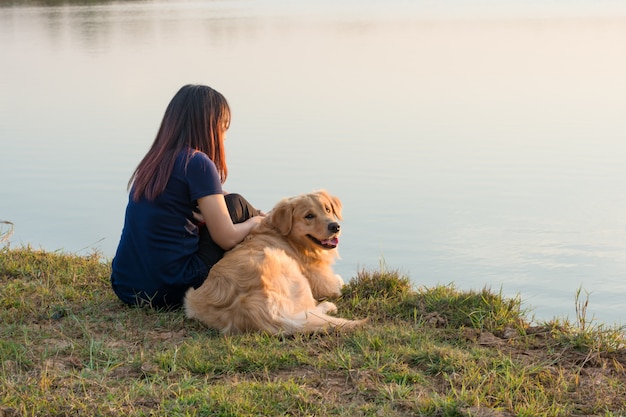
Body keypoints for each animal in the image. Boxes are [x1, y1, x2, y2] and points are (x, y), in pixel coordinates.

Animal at [183, 190, 364, 334]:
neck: (288, 238)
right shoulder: (325, 284)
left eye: (327, 209)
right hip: (289, 268)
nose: (335, 226)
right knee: (309, 310)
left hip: (191, 299)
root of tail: (249, 307)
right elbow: (338, 282)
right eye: (309, 216)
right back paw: (328, 306)